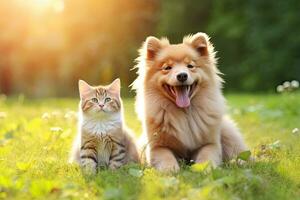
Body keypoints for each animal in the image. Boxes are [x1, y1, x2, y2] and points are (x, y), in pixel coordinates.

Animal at [132, 32, 247, 172]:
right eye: (167, 68)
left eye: (190, 66)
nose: (182, 75)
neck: (184, 113)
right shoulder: (157, 147)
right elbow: (166, 157)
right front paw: (170, 170)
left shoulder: (210, 143)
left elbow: (206, 155)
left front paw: (203, 168)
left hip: (227, 133)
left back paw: (238, 162)